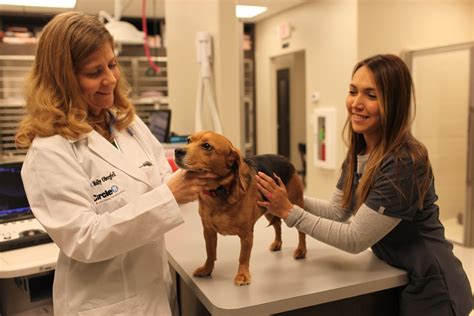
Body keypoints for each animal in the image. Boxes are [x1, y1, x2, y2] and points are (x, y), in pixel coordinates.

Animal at [175, 131, 308, 286]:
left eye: (206, 146)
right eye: (188, 140)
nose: (177, 151)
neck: (220, 191)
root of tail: (285, 159)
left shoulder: (246, 235)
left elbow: (243, 257)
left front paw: (242, 275)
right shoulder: (208, 231)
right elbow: (210, 252)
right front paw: (207, 269)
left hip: (292, 204)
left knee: (301, 231)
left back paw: (301, 250)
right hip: (270, 208)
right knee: (277, 225)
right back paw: (277, 243)